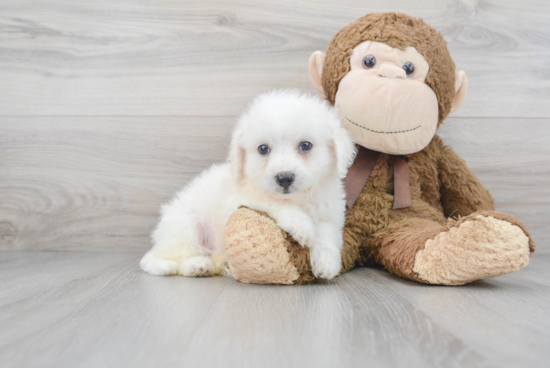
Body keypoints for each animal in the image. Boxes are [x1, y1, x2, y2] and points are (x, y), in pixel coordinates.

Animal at [141, 89, 358, 278]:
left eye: (306, 145)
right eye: (263, 149)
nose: (284, 178)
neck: (299, 198)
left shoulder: (330, 213)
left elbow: (327, 233)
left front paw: (327, 263)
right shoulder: (241, 200)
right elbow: (273, 202)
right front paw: (301, 224)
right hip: (185, 226)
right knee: (170, 258)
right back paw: (195, 265)